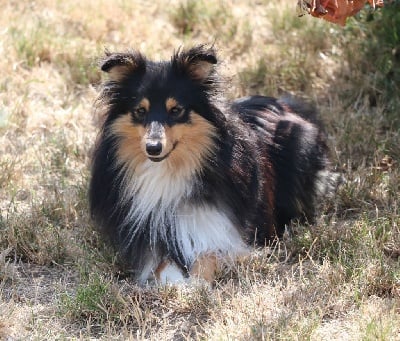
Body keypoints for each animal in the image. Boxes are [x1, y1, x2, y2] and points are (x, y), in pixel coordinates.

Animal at [89, 44, 336, 284]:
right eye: (140, 111)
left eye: (176, 110)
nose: (153, 147)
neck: (170, 171)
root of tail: (284, 103)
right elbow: (162, 265)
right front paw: (175, 284)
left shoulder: (232, 234)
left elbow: (209, 254)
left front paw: (195, 285)